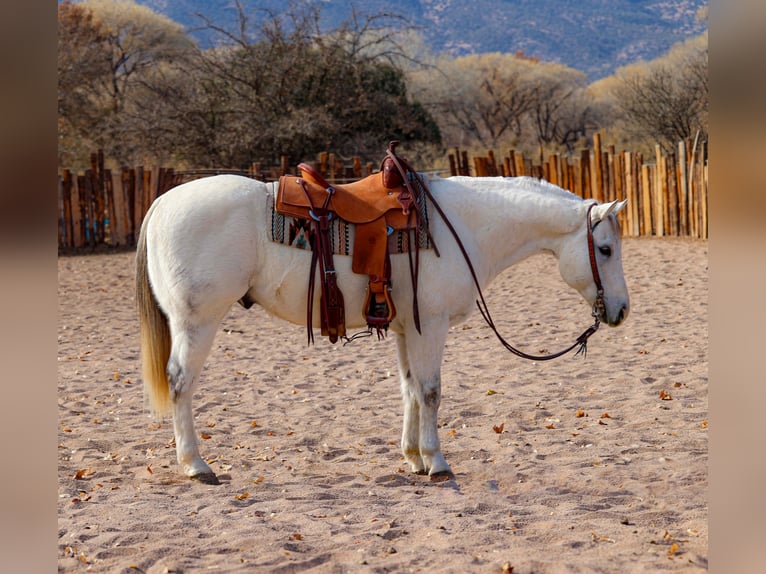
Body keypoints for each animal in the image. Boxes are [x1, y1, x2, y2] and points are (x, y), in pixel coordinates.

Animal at [138, 174, 632, 486]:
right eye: (605, 249)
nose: (622, 310)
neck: (462, 225)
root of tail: (162, 203)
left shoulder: (404, 327)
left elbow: (410, 389)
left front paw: (413, 457)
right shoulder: (430, 325)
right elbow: (431, 391)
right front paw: (437, 461)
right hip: (196, 322)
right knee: (180, 383)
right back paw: (196, 465)